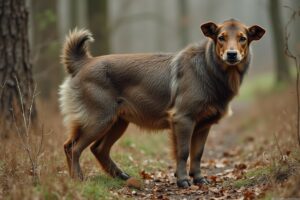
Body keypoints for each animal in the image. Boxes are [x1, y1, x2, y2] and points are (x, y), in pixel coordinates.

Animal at [58, 18, 264, 188]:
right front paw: (182, 180)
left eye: (243, 38)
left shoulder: (203, 125)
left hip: (118, 122)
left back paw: (120, 176)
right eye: (221, 37)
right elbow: (183, 152)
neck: (209, 69)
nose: (231, 54)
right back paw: (78, 179)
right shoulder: (183, 119)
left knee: (96, 149)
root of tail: (83, 63)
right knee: (73, 148)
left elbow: (197, 154)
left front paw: (198, 178)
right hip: (99, 119)